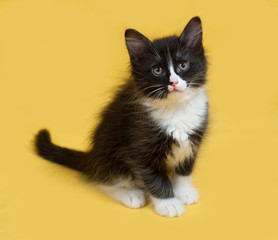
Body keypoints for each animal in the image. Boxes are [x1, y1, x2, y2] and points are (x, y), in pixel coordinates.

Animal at [34, 16, 207, 218]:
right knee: (102, 180)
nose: (173, 82)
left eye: (183, 65)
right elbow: (155, 178)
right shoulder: (140, 146)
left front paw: (184, 192)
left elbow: (184, 169)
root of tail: (90, 157)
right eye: (157, 70)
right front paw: (168, 203)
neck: (176, 109)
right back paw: (131, 194)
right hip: (110, 155)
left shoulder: (193, 139)